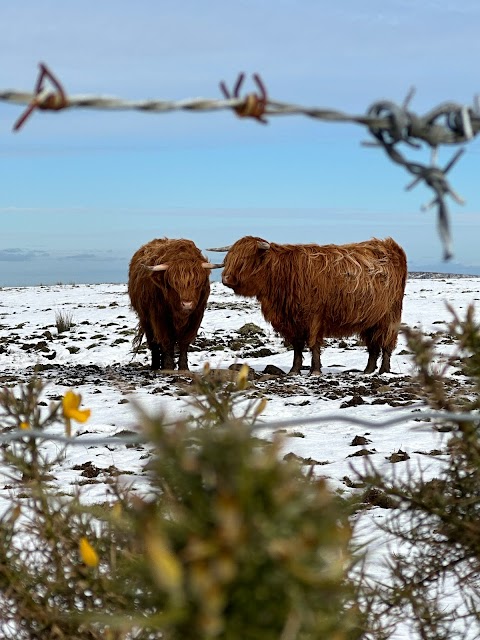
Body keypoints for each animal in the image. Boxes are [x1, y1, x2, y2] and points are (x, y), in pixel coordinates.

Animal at [127, 238, 221, 370]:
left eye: (197, 283)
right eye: (173, 284)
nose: (187, 304)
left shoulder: (196, 316)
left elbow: (184, 342)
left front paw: (183, 367)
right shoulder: (159, 317)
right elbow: (166, 341)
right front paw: (168, 366)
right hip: (145, 318)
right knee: (154, 343)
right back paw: (155, 365)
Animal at [212, 235, 406, 376]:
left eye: (245, 259)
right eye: (229, 258)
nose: (225, 278)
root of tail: (390, 245)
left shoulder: (314, 318)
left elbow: (313, 344)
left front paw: (315, 371)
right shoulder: (291, 321)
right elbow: (297, 347)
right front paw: (294, 370)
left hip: (390, 315)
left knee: (387, 343)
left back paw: (384, 371)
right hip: (371, 319)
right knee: (373, 346)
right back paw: (367, 371)